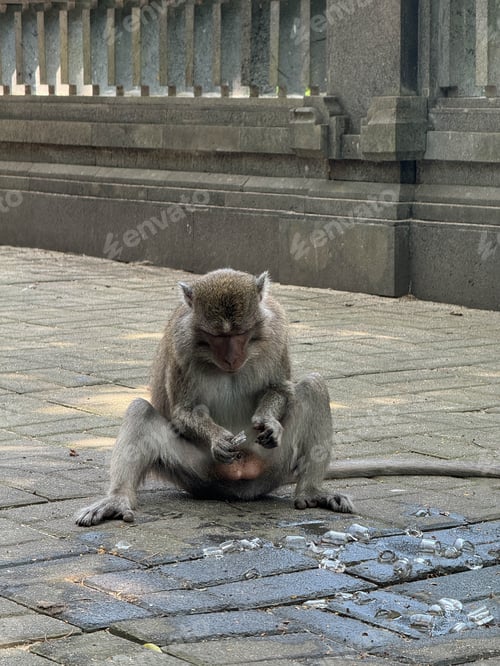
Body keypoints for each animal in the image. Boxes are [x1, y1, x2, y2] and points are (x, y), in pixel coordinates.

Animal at [75, 269, 500, 527]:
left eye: (241, 333)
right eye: (215, 336)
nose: (231, 358)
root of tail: (242, 484)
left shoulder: (277, 329)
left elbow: (281, 389)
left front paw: (269, 424)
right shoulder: (181, 344)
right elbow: (182, 409)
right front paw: (219, 439)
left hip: (276, 465)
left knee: (313, 387)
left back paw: (311, 492)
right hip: (196, 473)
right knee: (139, 411)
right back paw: (117, 499)